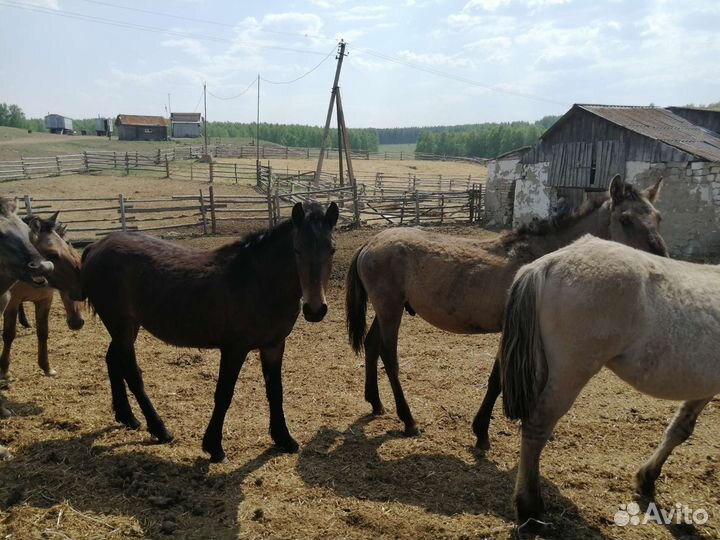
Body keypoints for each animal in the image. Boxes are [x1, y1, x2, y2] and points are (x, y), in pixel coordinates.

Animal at [1, 212, 84, 379]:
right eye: (53, 254)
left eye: (67, 245)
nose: (77, 323)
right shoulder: (12, 303)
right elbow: (9, 334)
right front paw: (5, 371)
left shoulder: (44, 301)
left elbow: (43, 332)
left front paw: (46, 367)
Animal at [82, 201, 339, 463]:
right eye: (297, 250)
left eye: (332, 250)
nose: (315, 309)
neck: (258, 282)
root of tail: (97, 246)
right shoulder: (234, 349)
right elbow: (224, 394)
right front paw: (214, 447)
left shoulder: (273, 345)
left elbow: (275, 391)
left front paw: (284, 439)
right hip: (121, 325)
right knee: (132, 374)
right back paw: (160, 429)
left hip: (127, 327)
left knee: (113, 361)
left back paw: (127, 417)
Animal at [345, 176, 667, 445]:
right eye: (626, 219)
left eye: (658, 217)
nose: (661, 259)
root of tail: (371, 243)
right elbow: (497, 380)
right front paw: (482, 434)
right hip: (390, 308)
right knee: (389, 357)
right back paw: (408, 420)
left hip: (387, 309)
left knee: (371, 345)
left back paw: (375, 403)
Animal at [500, 235, 720, 531]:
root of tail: (550, 262)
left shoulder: (703, 388)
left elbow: (680, 429)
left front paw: (647, 478)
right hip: (570, 375)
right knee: (537, 426)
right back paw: (529, 507)